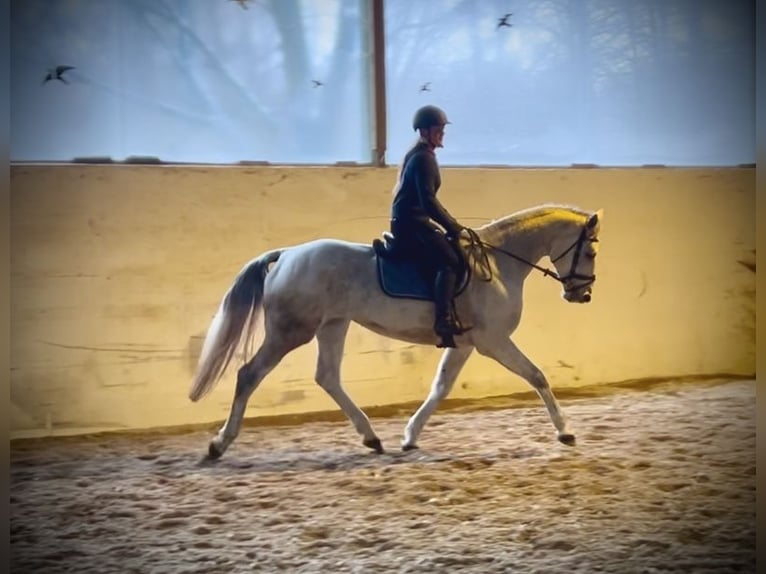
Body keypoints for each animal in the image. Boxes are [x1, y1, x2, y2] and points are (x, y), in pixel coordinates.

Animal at [189, 205, 604, 462]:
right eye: (590, 253)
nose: (581, 295)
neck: (499, 264)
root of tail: (288, 254)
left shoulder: (466, 343)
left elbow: (440, 387)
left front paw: (410, 436)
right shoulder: (493, 342)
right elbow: (537, 375)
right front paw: (565, 432)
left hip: (333, 325)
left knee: (327, 377)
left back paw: (372, 438)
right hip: (290, 332)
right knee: (250, 374)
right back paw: (219, 444)